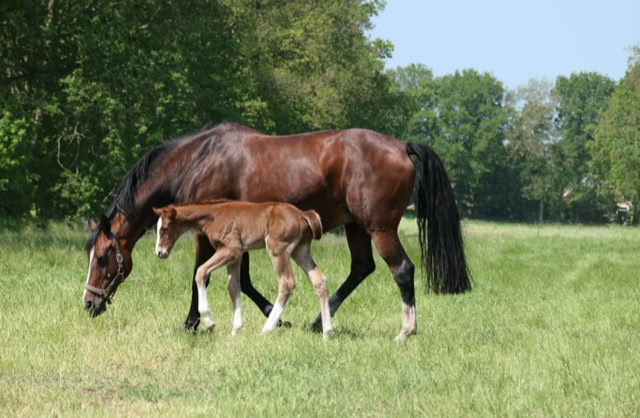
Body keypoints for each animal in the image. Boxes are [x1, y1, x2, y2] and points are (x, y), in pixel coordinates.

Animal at [152, 200, 332, 339]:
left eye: (164, 228)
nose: (160, 252)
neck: (214, 215)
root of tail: (303, 214)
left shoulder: (231, 249)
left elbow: (201, 272)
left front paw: (209, 322)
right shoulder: (236, 257)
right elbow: (233, 287)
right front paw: (235, 331)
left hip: (277, 249)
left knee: (287, 283)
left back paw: (266, 329)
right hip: (300, 251)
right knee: (320, 280)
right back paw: (327, 333)